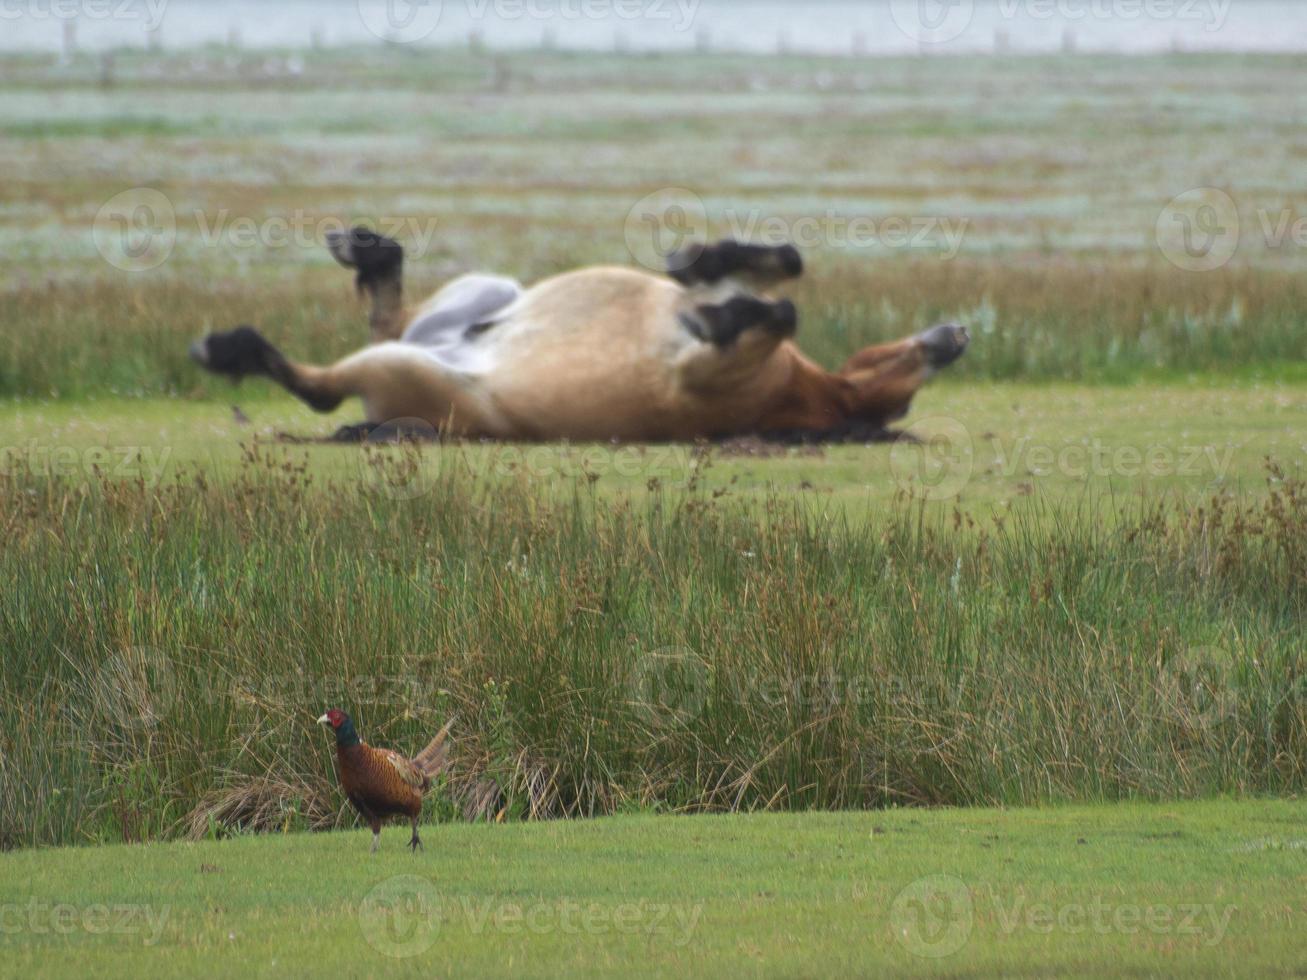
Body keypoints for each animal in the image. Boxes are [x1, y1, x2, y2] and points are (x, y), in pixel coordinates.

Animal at [193, 226, 972, 441]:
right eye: (909, 366)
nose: (955, 334)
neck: (812, 395)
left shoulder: (700, 375)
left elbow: (779, 312)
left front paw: (724, 307)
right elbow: (782, 267)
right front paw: (705, 260)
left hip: (412, 370)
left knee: (323, 389)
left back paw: (227, 348)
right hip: (486, 292)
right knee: (394, 316)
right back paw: (369, 251)